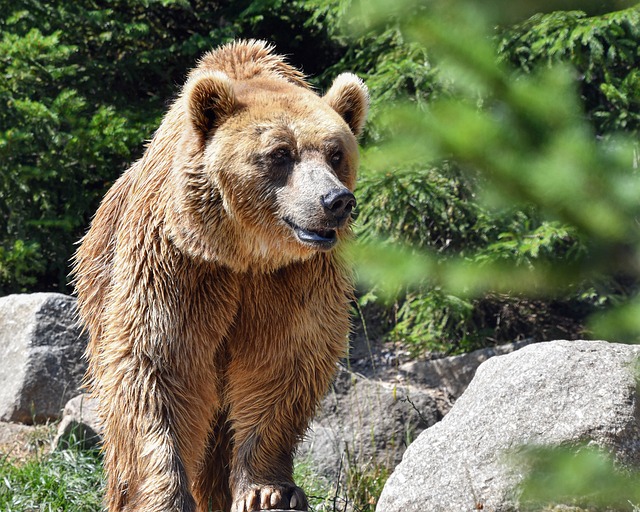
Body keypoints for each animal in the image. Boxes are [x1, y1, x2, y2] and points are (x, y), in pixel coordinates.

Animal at [72, 39, 368, 512]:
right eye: (280, 153)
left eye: (336, 153)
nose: (335, 201)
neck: (245, 252)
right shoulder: (178, 262)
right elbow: (159, 364)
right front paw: (168, 494)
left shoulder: (295, 277)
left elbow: (283, 362)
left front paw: (268, 491)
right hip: (100, 287)